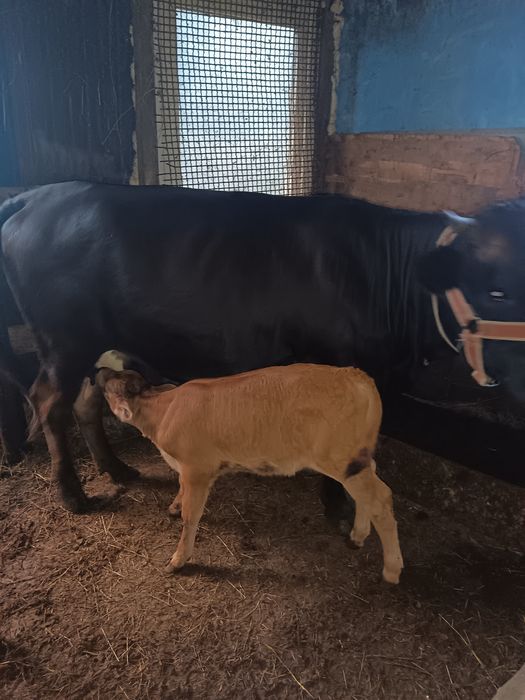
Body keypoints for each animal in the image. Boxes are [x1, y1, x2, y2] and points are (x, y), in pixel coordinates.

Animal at [0, 181, 524, 515]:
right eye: (496, 291)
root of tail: (39, 194)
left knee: (87, 403)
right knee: (49, 402)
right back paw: (73, 497)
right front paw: (336, 506)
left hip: (99, 343)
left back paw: (118, 471)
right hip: (65, 340)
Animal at [98, 363, 404, 583]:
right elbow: (181, 494)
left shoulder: (197, 469)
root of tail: (357, 375)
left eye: (111, 386)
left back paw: (391, 570)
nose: (100, 370)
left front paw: (178, 559)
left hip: (340, 459)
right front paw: (174, 505)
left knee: (381, 498)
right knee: (370, 488)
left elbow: (190, 516)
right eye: (120, 373)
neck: (163, 411)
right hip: (356, 458)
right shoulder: (187, 470)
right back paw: (358, 535)